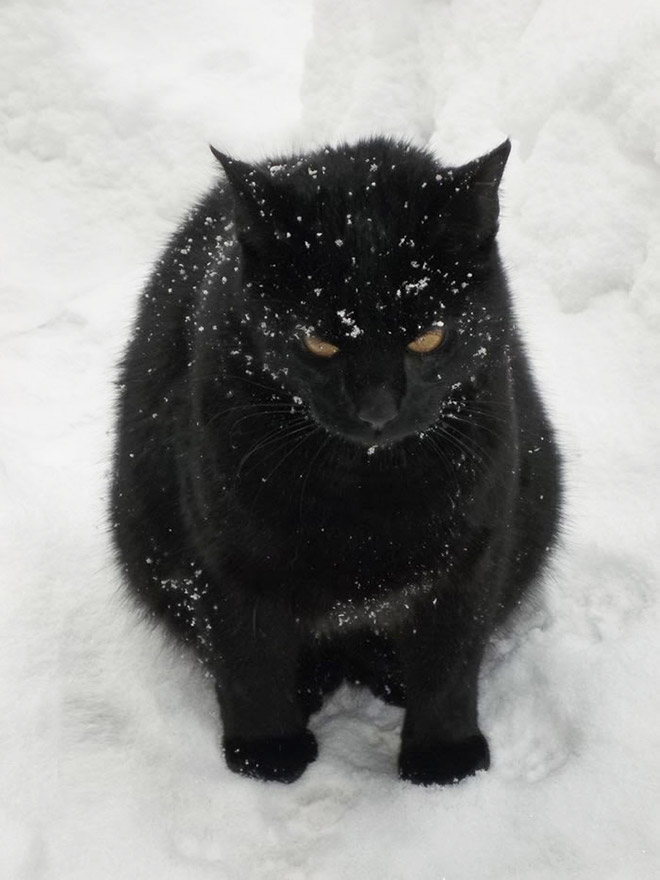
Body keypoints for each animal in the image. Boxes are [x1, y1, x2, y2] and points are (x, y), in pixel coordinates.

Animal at [111, 138, 560, 784]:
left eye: (428, 336)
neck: (364, 491)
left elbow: (449, 663)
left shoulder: (470, 556)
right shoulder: (224, 558)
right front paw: (267, 754)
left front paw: (443, 760)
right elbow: (248, 660)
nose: (377, 408)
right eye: (319, 341)